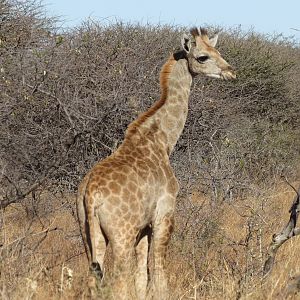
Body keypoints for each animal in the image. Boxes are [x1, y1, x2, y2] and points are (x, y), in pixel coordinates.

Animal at [77, 27, 237, 298]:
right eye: (202, 57)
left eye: (218, 50)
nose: (230, 72)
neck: (162, 140)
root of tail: (91, 194)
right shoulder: (164, 214)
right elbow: (159, 272)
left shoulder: (143, 228)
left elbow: (142, 277)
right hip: (121, 235)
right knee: (119, 282)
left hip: (88, 233)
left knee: (94, 279)